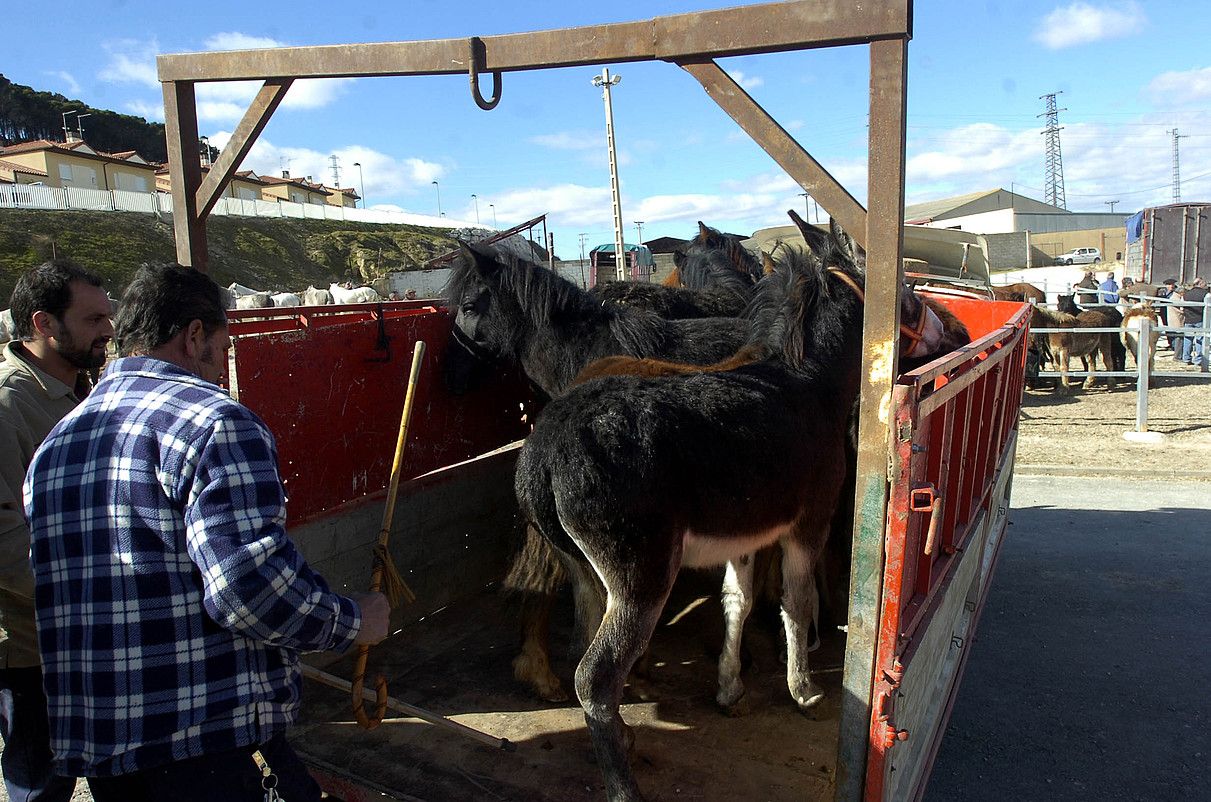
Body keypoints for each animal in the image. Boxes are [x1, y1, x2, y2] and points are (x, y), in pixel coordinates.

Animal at [511, 236, 944, 799]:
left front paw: (729, 688)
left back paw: (623, 734)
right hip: (641, 574)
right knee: (596, 676)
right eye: (906, 292)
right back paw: (623, 784)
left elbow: (736, 603)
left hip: (585, 569)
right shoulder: (810, 521)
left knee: (584, 645)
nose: (942, 331)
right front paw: (802, 689)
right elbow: (796, 601)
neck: (808, 380)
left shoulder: (746, 535)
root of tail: (542, 451)